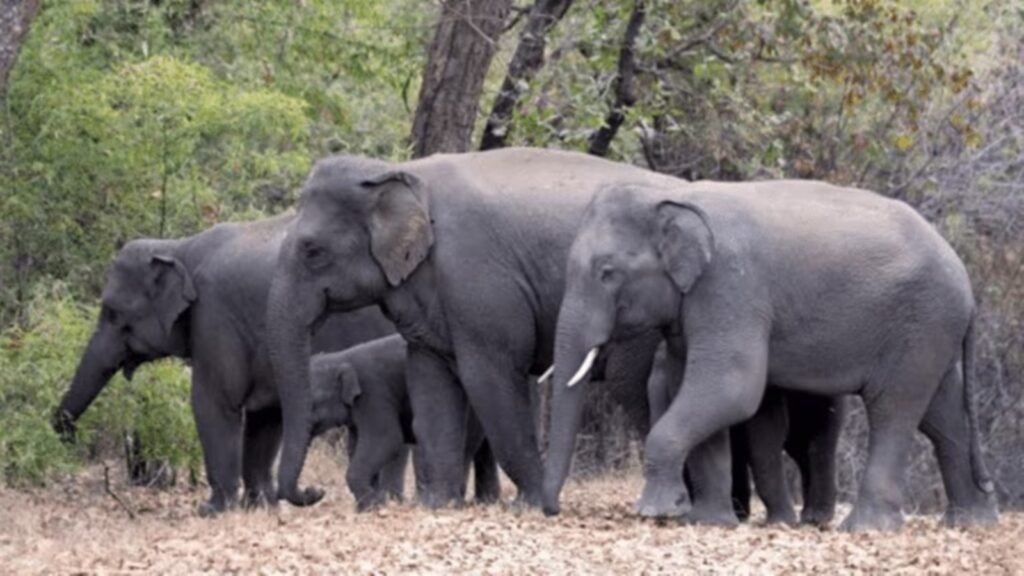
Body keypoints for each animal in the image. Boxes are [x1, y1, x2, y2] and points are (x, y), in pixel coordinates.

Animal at [51, 213, 396, 516]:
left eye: (112, 312)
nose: (68, 434)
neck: (178, 248)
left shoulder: (214, 316)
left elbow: (213, 402)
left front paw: (212, 510)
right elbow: (265, 415)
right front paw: (259, 507)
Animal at [309, 334, 501, 510]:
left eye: (314, 403)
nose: (319, 492)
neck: (342, 357)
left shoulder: (374, 395)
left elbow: (385, 439)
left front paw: (375, 505)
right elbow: (356, 444)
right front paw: (373, 504)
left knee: (465, 447)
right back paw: (484, 502)